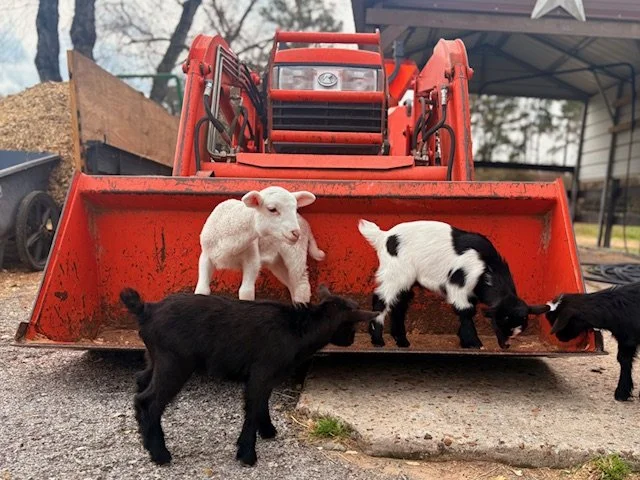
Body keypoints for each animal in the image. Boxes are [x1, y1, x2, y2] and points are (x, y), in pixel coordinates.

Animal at [120, 285, 377, 466]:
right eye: (352, 326)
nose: (351, 340)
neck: (298, 328)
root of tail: (147, 310)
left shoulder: (265, 376)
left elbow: (262, 403)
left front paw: (268, 431)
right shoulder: (262, 372)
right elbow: (253, 409)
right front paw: (247, 454)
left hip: (155, 359)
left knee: (140, 384)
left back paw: (146, 440)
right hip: (174, 364)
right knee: (149, 401)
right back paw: (160, 454)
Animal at [194, 186, 325, 303]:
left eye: (295, 208)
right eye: (272, 209)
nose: (296, 233)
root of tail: (306, 224)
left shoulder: (252, 258)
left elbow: (246, 292)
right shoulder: (206, 256)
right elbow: (202, 289)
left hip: (296, 252)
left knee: (301, 285)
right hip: (278, 261)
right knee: (291, 284)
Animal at [358, 219, 549, 349]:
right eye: (502, 322)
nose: (506, 345)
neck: (488, 266)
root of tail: (383, 237)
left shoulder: (472, 292)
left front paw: (466, 341)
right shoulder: (459, 283)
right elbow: (465, 311)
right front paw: (474, 343)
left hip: (404, 279)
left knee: (399, 304)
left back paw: (402, 341)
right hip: (396, 272)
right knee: (381, 299)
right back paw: (378, 340)